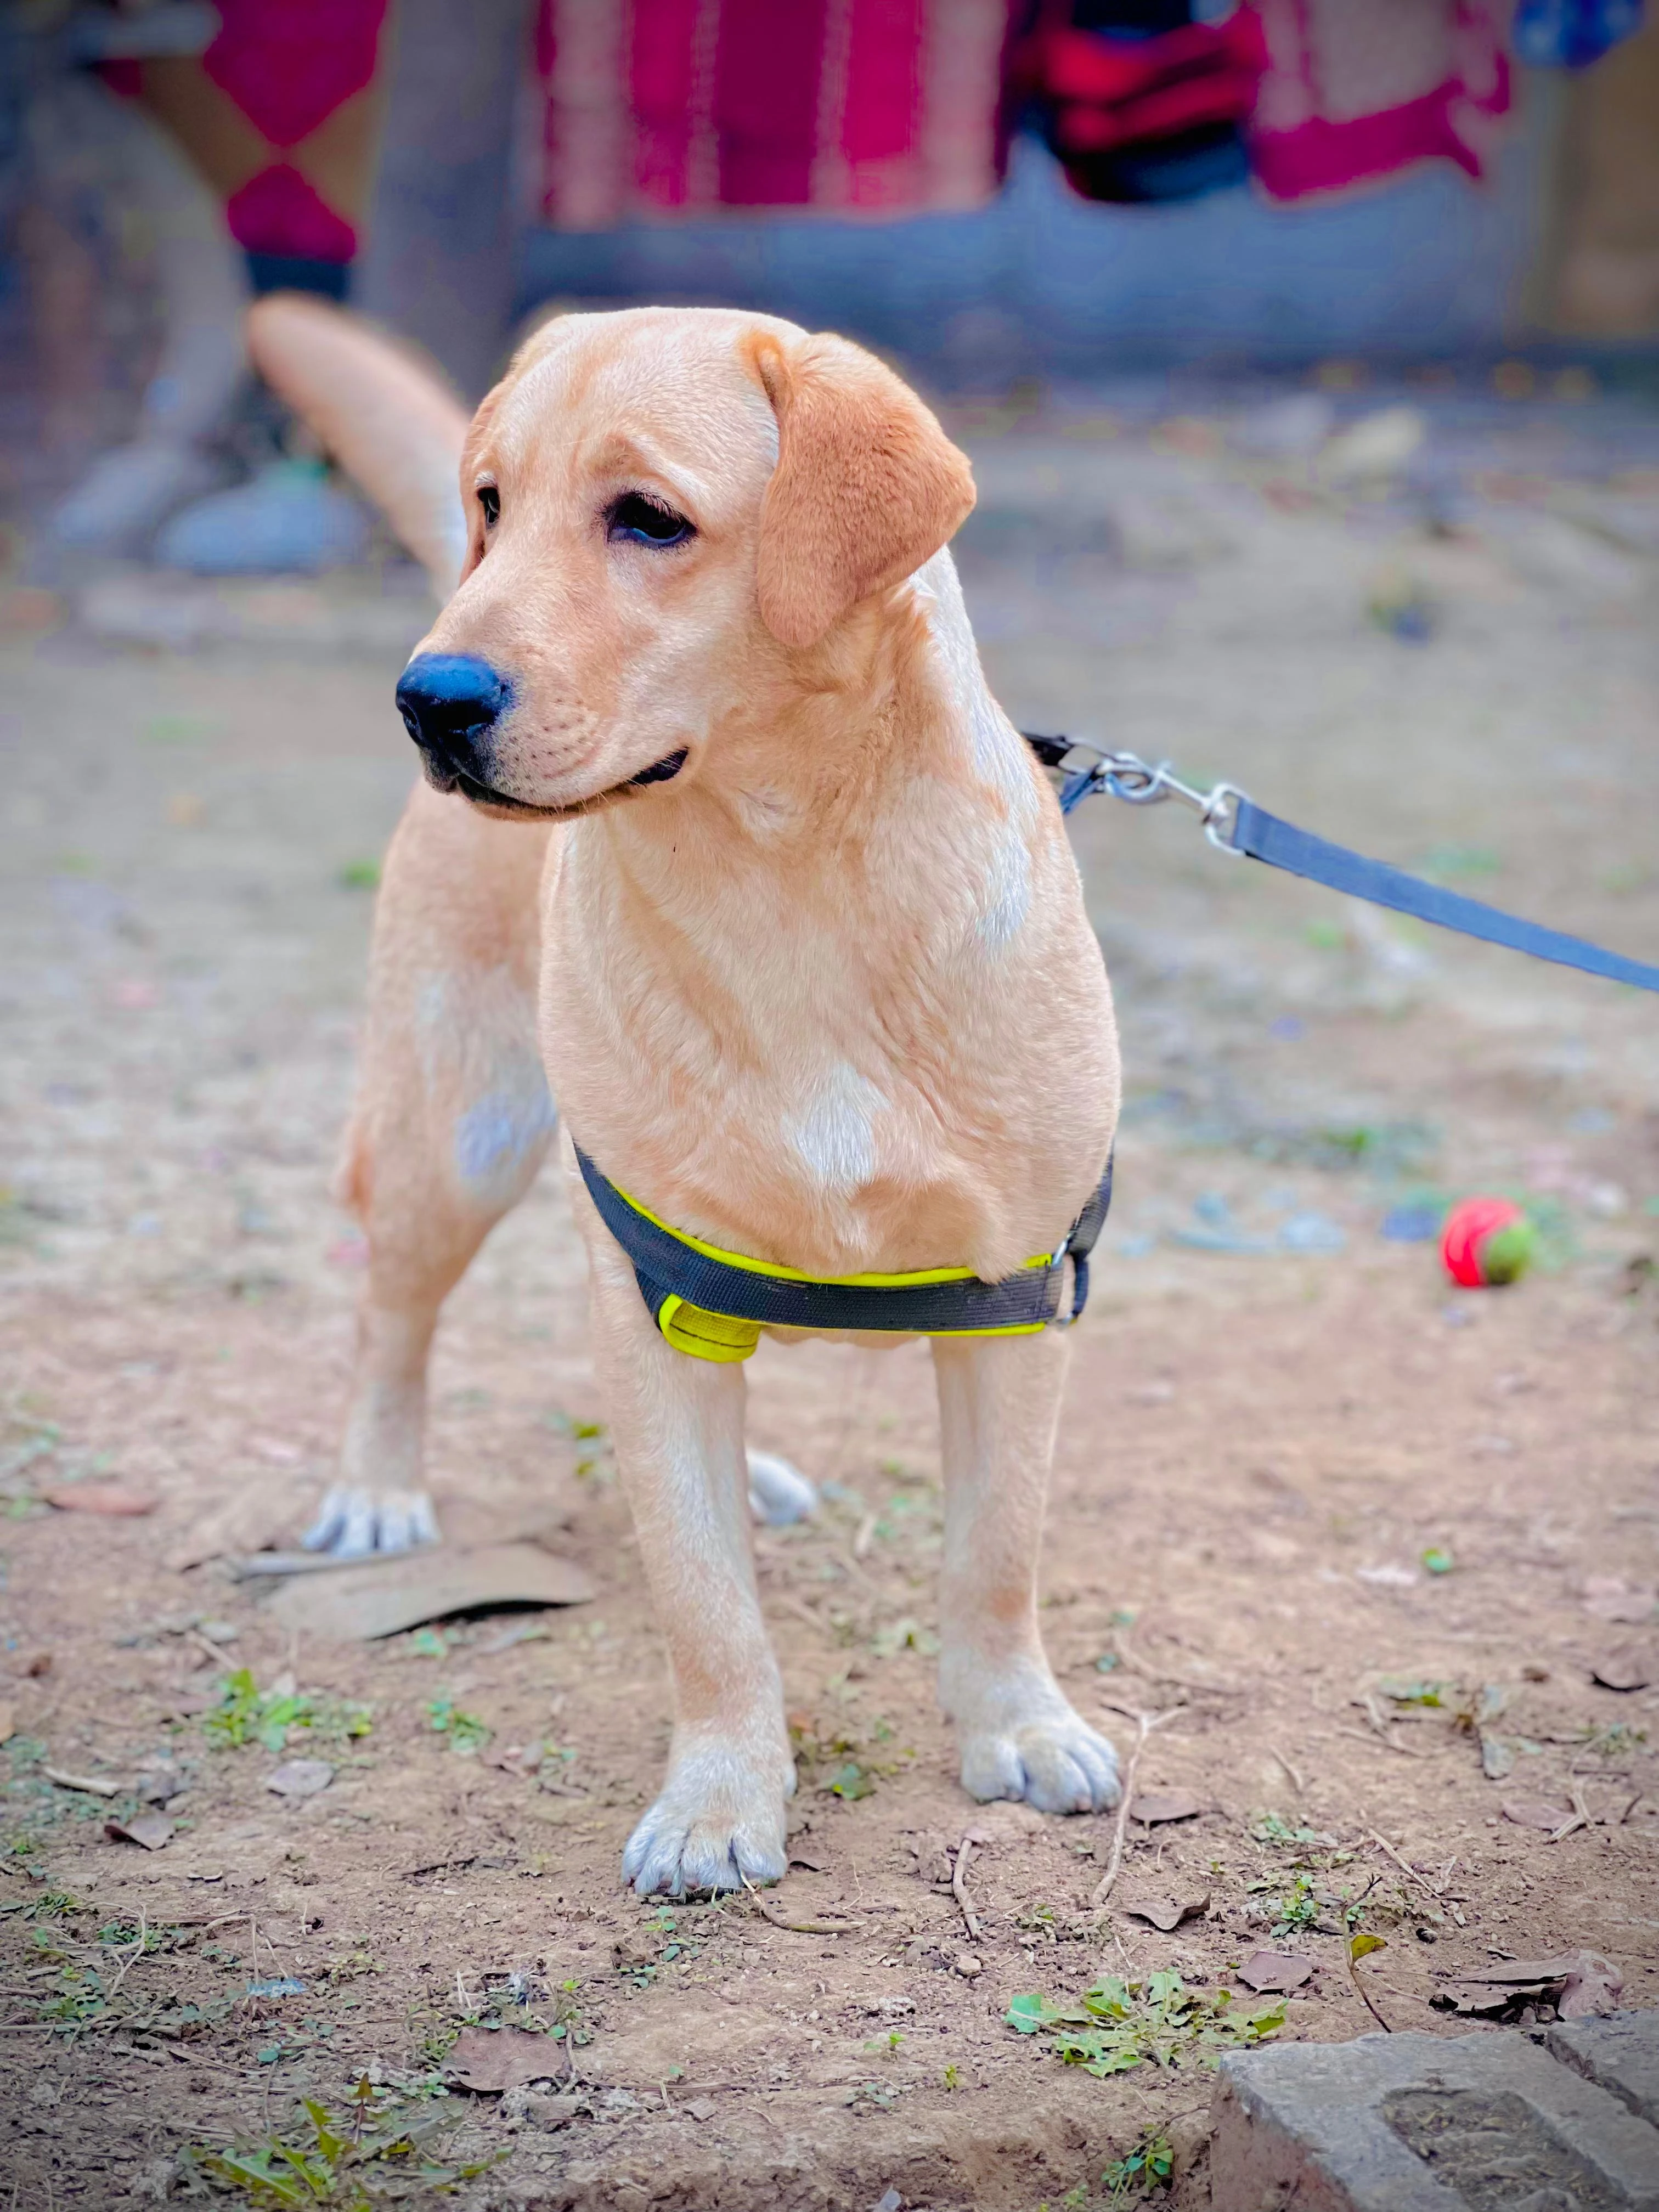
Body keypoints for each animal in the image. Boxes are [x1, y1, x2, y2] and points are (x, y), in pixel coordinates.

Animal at [246, 294, 1124, 1893]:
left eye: (648, 519)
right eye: (493, 503)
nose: (426, 698)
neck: (785, 877)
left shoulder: (1016, 1290)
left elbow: (996, 1553)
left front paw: (1016, 1728)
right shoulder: (652, 1287)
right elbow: (707, 1606)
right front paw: (722, 1800)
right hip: (455, 1136)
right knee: (390, 1316)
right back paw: (379, 1485)